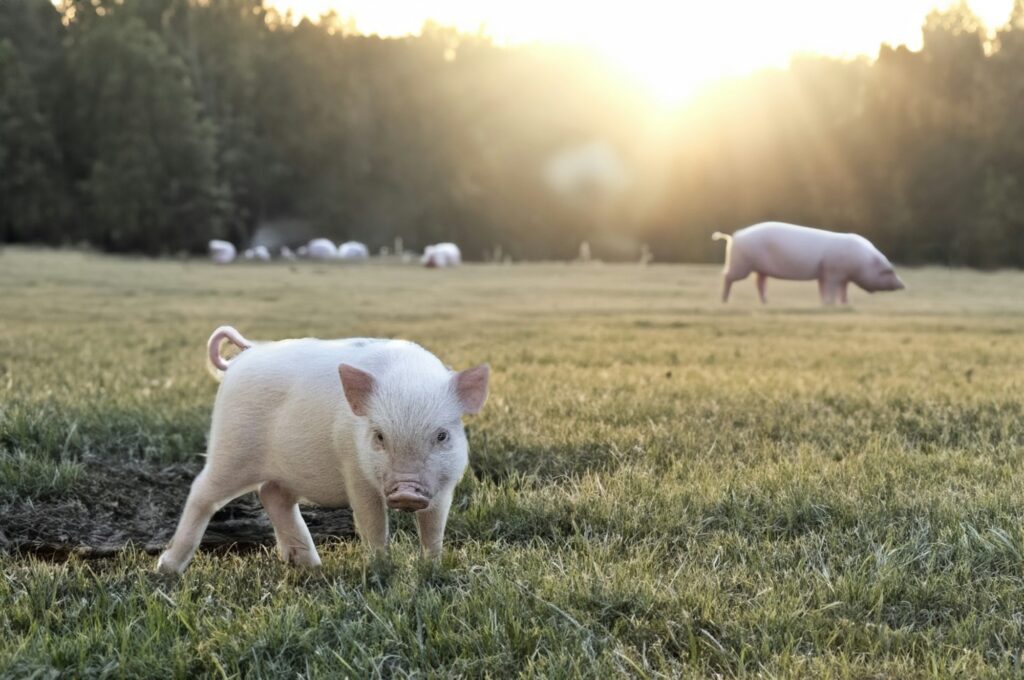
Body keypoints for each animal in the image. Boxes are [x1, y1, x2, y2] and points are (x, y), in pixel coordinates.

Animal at [156, 326, 489, 575]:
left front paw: (432, 567)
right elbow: (373, 523)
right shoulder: (355, 470)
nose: (407, 491)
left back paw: (309, 565)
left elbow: (433, 528)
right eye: (379, 436)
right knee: (202, 492)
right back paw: (167, 568)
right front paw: (382, 568)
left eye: (442, 435)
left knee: (272, 495)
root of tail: (246, 354)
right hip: (230, 449)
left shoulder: (444, 484)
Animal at [712, 222, 905, 305]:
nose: (903, 284)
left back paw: (766, 302)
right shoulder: (833, 272)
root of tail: (735, 235)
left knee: (760, 283)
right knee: (726, 276)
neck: (861, 261)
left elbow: (839, 290)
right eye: (888, 271)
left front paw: (843, 304)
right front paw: (829, 304)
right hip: (740, 264)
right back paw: (724, 301)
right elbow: (831, 289)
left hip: (759, 269)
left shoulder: (833, 275)